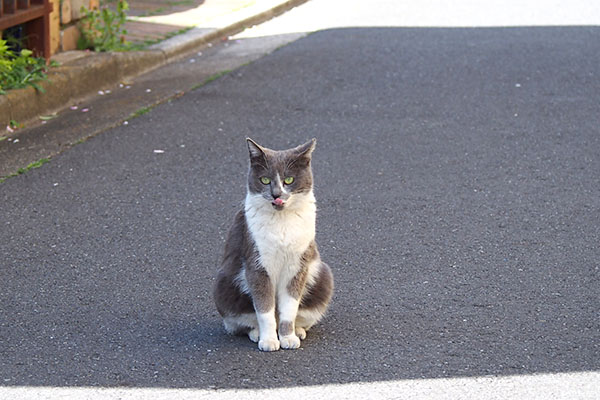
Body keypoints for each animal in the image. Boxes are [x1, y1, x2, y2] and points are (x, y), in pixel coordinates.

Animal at [212, 139, 336, 352]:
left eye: (289, 180)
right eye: (264, 180)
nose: (276, 194)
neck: (282, 221)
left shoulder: (297, 266)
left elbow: (289, 308)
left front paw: (288, 338)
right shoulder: (257, 266)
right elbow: (264, 309)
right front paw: (269, 340)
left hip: (323, 276)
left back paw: (298, 331)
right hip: (224, 283)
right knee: (242, 322)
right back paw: (256, 333)